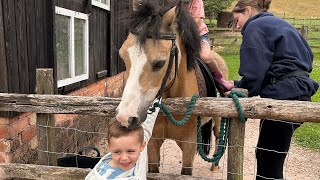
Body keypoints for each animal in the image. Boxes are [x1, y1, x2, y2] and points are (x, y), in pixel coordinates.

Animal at [116, 0, 229, 174]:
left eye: (159, 63)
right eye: (123, 57)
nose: (125, 117)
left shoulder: (189, 146)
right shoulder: (153, 144)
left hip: (219, 115)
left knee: (218, 135)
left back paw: (215, 166)